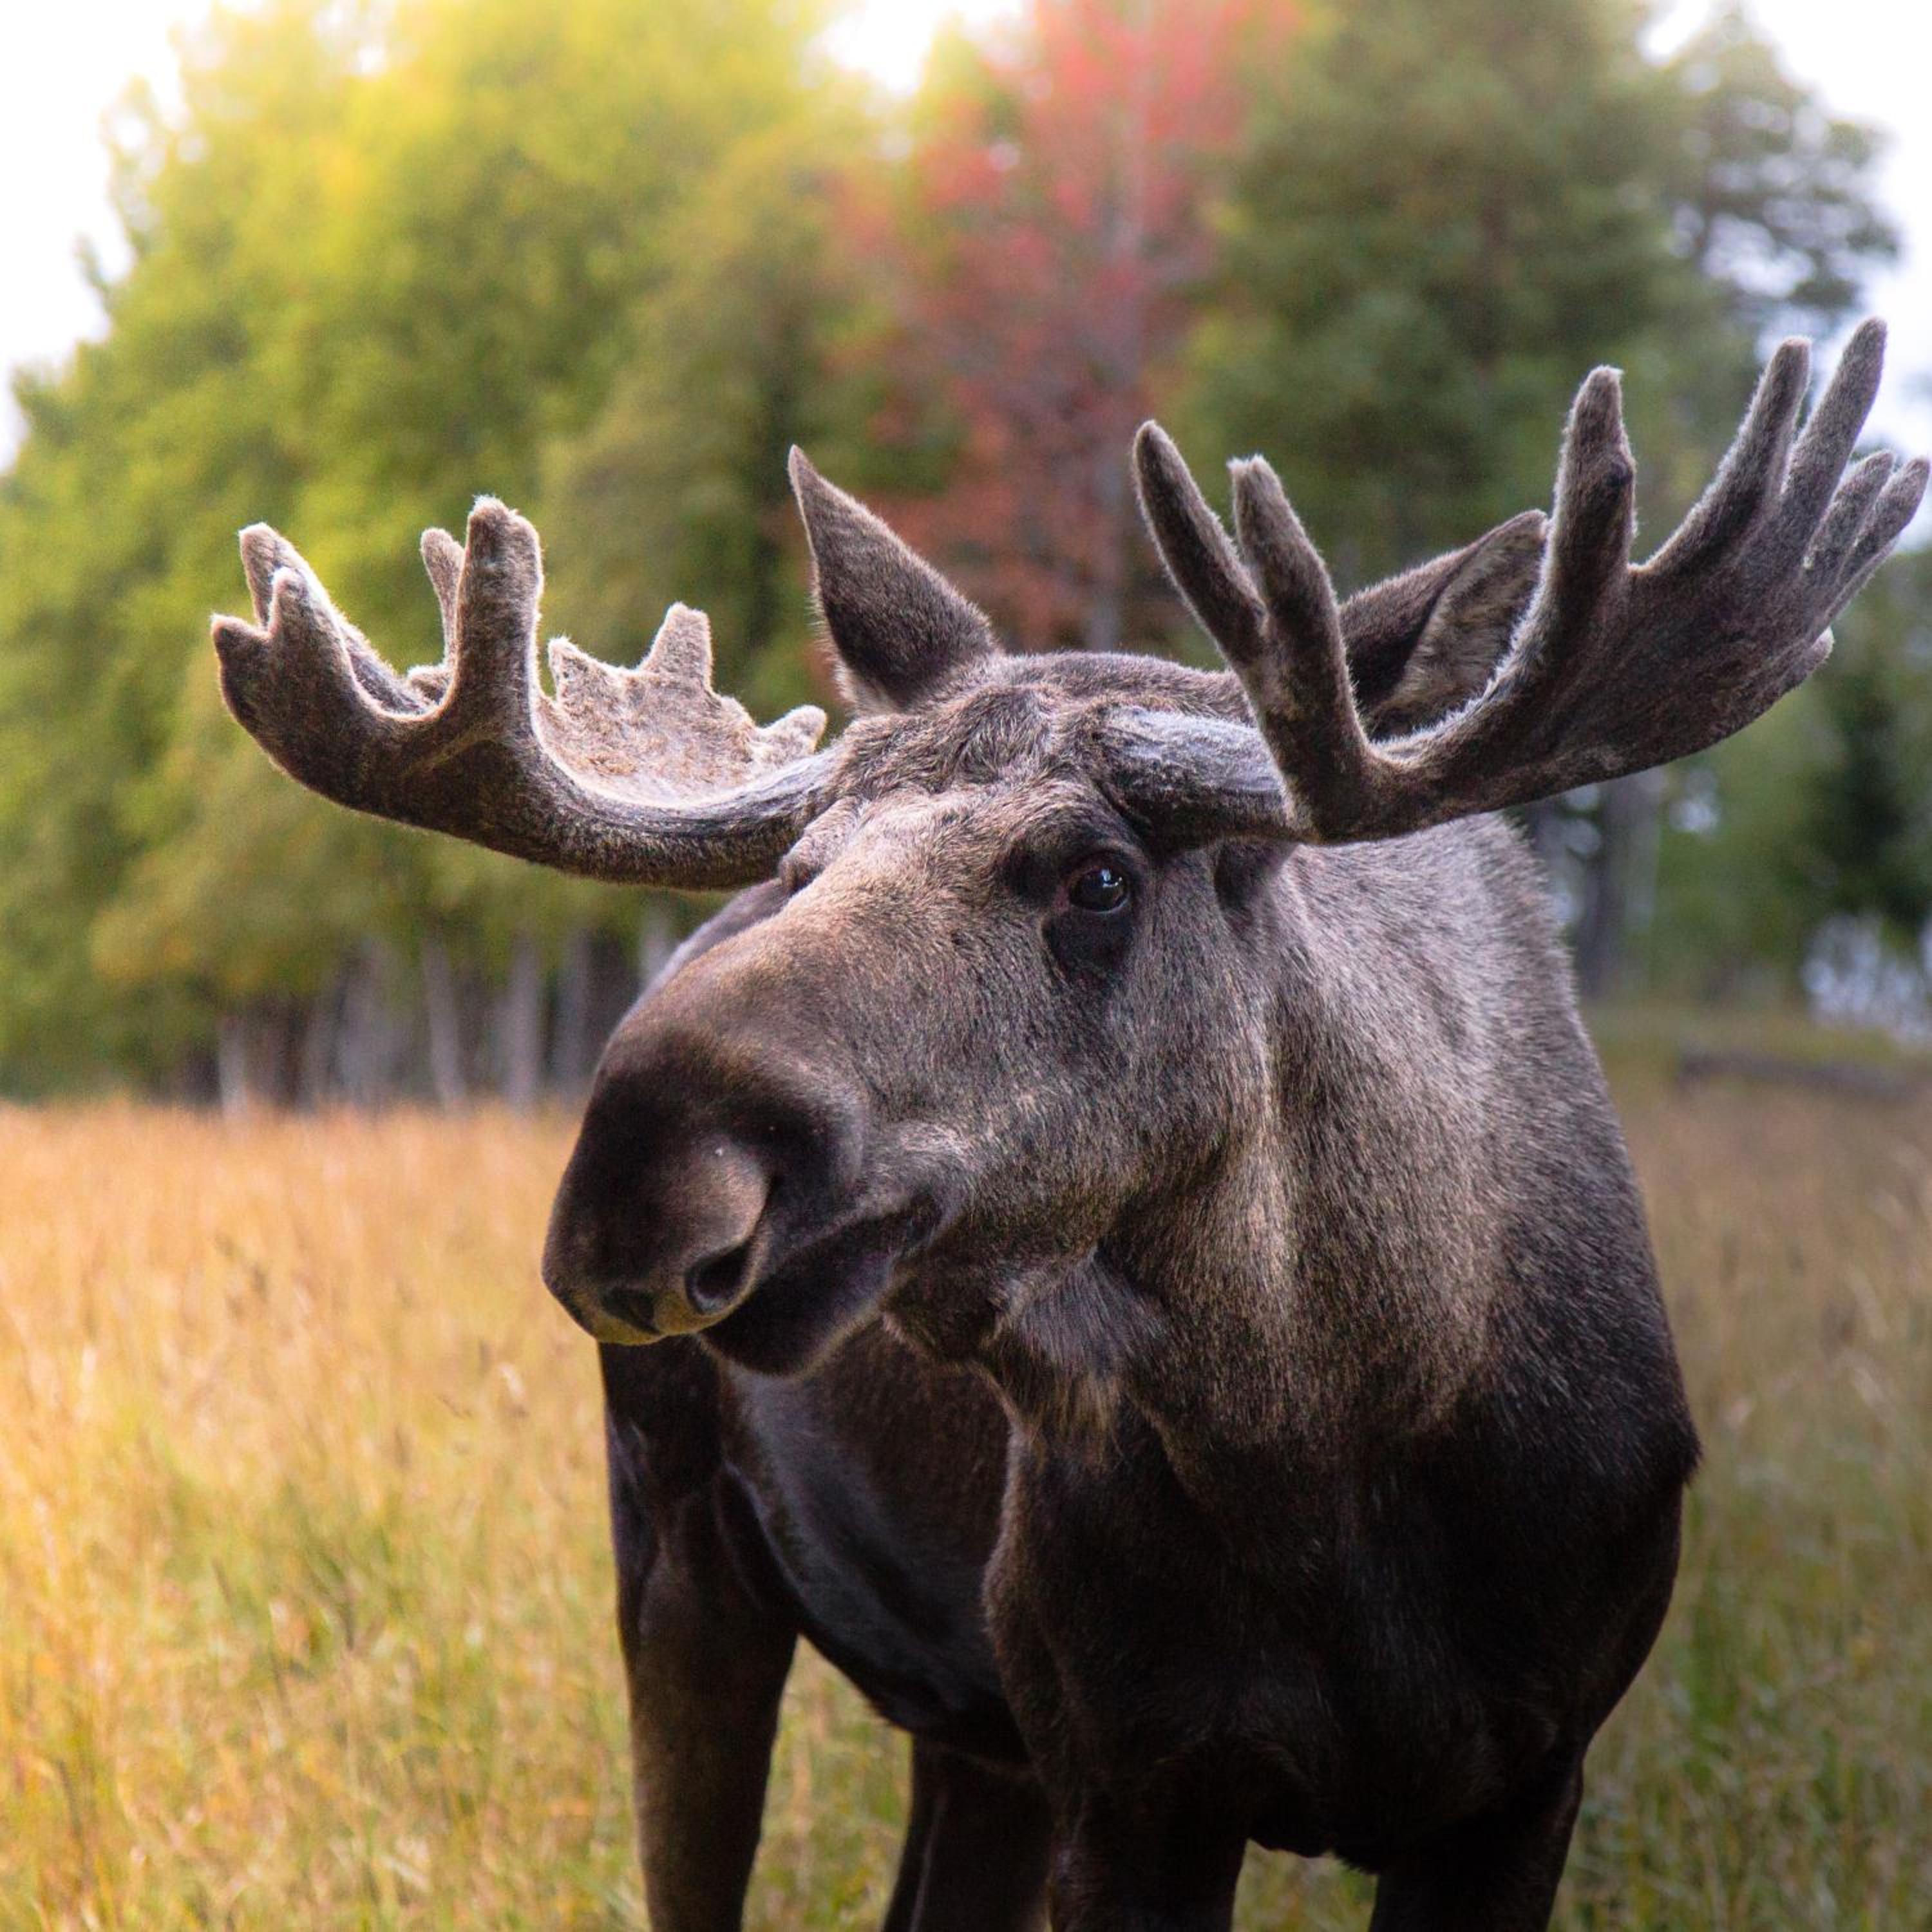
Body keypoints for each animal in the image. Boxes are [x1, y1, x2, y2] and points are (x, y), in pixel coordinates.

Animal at [214, 322, 1923, 1932]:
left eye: (1098, 876)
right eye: (803, 866)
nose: (639, 1175)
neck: (1336, 1451)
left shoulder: (1526, 1778)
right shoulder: (1131, 1782)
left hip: (971, 1730)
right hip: (689, 1555)